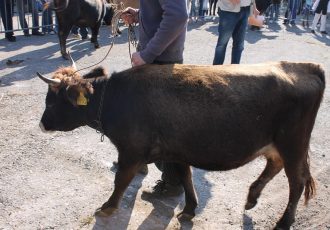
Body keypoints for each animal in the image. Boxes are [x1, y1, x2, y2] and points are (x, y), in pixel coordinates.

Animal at [36, 60, 324, 229]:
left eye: (52, 101)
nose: (41, 124)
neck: (116, 98)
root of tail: (306, 66)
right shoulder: (177, 151)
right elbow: (186, 178)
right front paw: (189, 209)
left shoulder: (131, 151)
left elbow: (121, 181)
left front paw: (107, 207)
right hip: (278, 145)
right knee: (274, 165)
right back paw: (252, 197)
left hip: (293, 144)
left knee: (296, 182)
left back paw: (283, 222)